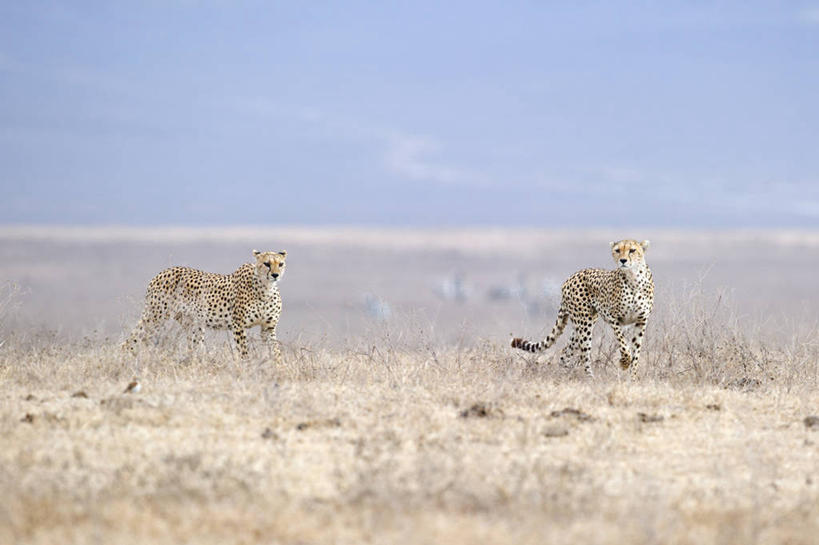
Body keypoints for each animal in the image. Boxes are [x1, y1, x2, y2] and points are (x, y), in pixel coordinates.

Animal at [123, 250, 286, 362]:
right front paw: (247, 366)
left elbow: (275, 350)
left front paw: (279, 367)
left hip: (193, 324)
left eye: (280, 264)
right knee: (132, 339)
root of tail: (162, 272)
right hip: (155, 317)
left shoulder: (268, 327)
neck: (265, 289)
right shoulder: (238, 325)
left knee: (194, 347)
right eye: (266, 264)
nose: (275, 275)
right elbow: (244, 351)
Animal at [510, 240, 656, 376]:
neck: (633, 277)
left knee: (566, 351)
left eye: (632, 250)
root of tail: (570, 277)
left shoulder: (641, 321)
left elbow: (636, 352)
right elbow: (623, 343)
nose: (623, 260)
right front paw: (624, 363)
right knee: (583, 353)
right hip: (584, 323)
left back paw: (566, 374)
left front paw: (632, 378)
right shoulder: (612, 318)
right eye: (617, 250)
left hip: (582, 324)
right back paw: (590, 379)